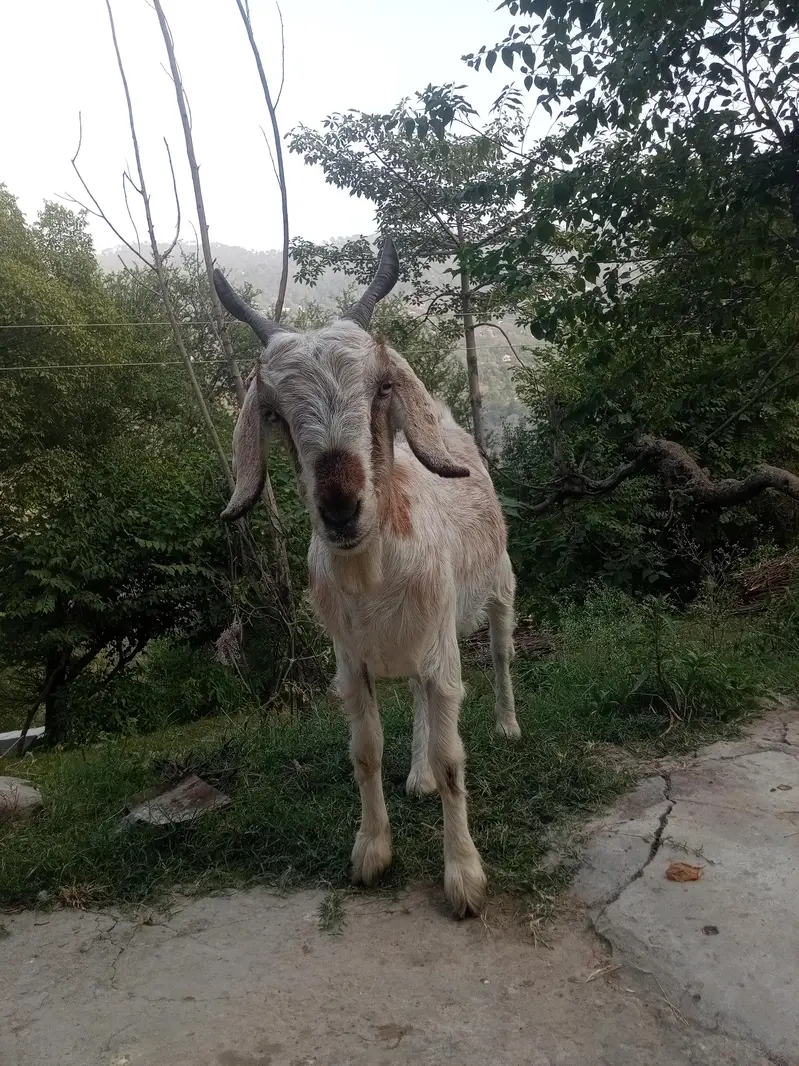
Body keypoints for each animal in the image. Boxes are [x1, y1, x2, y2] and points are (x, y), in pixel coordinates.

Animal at [213, 238, 519, 917]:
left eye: (379, 389)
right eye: (275, 412)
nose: (341, 507)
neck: (373, 575)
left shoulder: (443, 652)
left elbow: (453, 755)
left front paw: (464, 877)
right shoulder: (352, 661)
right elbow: (366, 750)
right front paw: (372, 851)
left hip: (500, 588)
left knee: (502, 654)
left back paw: (509, 725)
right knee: (416, 702)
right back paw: (417, 777)